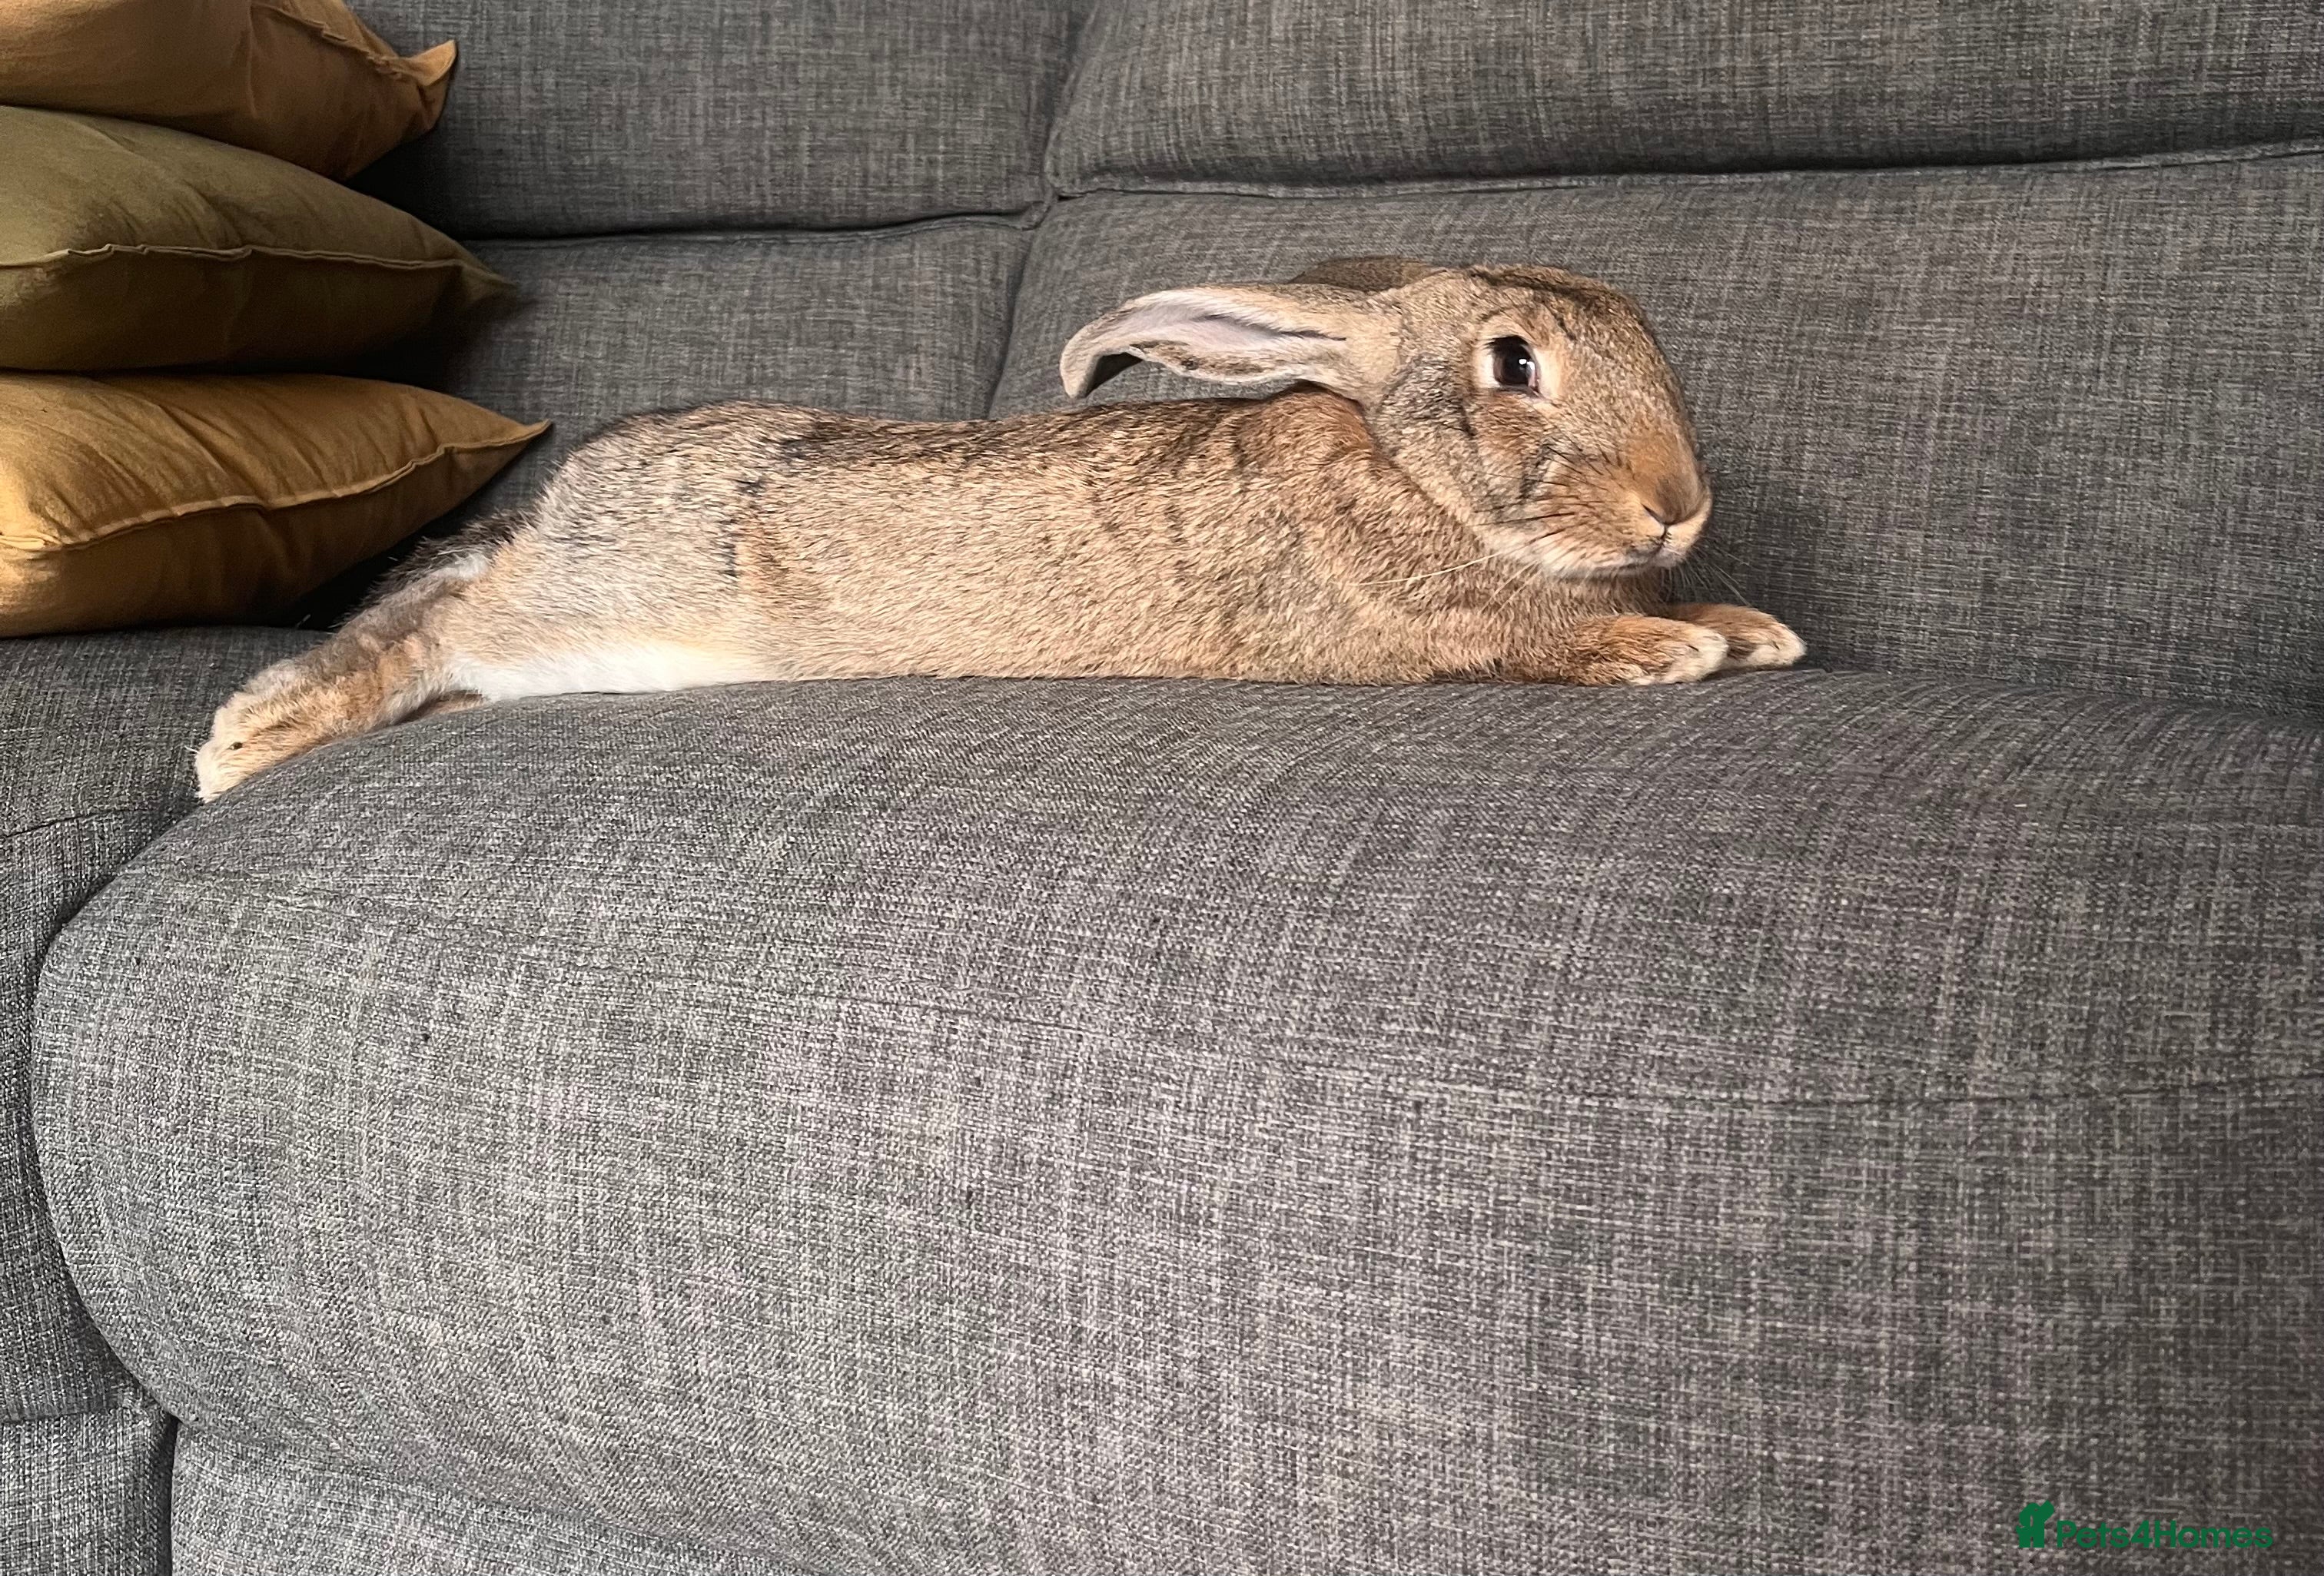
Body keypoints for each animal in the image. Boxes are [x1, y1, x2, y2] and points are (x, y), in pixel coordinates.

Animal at [195, 256, 1802, 800]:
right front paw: (1667, 651)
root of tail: (578, 488)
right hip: (606, 610)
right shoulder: (1420, 631)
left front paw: (1747, 629)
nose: (1679, 504)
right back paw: (246, 745)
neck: (1404, 470)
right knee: (445, 619)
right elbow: (1544, 643)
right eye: (1512, 365)